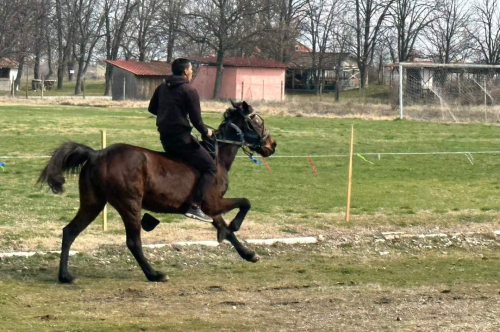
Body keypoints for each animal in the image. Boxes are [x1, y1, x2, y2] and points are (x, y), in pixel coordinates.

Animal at [38, 100, 278, 282]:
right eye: (257, 120)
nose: (272, 145)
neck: (217, 157)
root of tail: (96, 154)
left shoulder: (211, 209)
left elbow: (226, 229)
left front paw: (248, 254)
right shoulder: (213, 202)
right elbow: (245, 203)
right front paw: (237, 227)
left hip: (93, 203)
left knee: (70, 231)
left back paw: (65, 276)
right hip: (130, 205)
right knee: (133, 242)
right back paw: (154, 274)